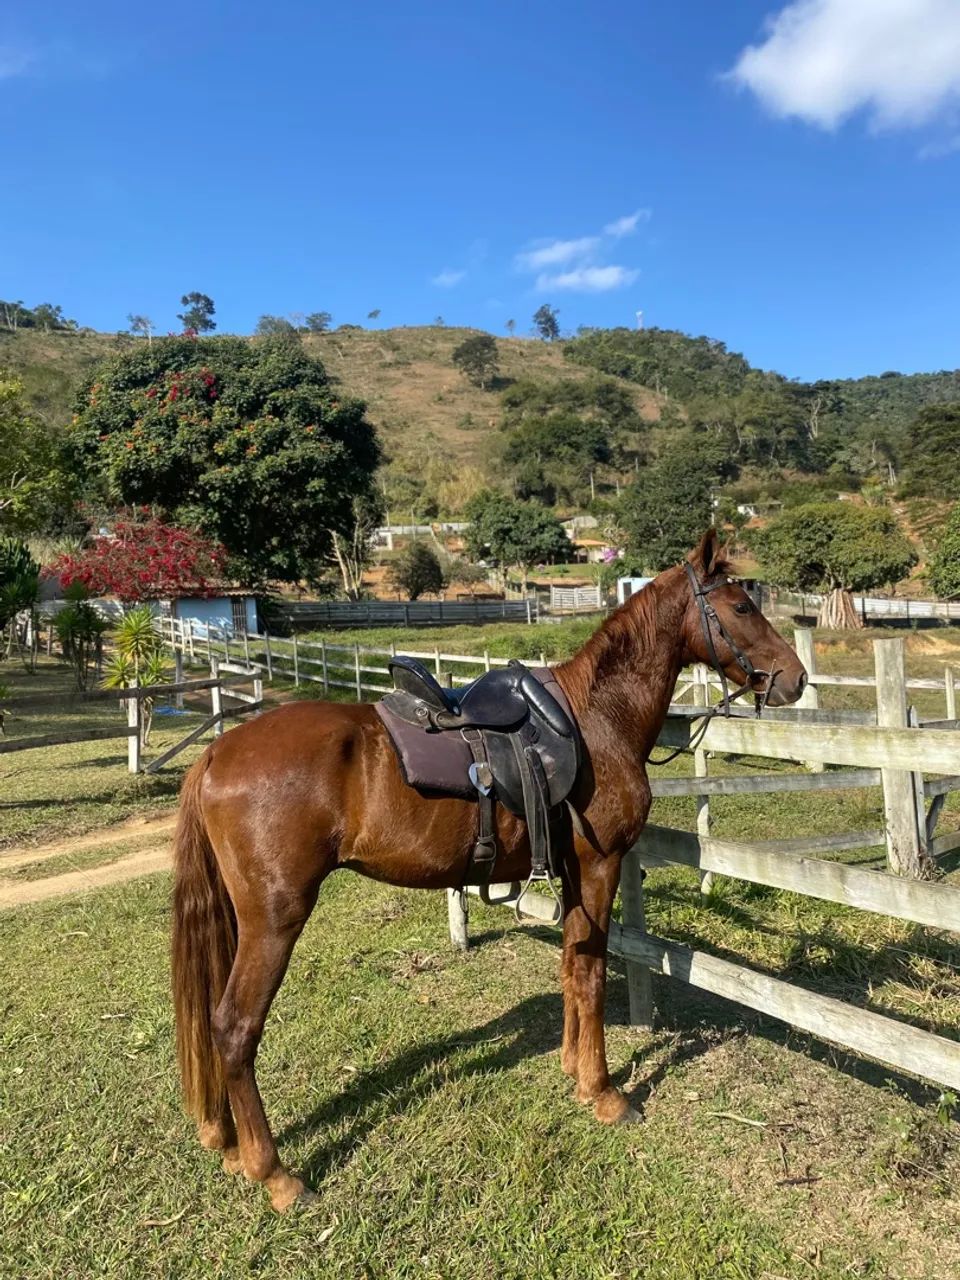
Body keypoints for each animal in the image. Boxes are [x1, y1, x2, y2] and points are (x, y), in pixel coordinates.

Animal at [171, 530, 807, 1211]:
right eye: (741, 606)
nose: (795, 679)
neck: (596, 718)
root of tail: (217, 752)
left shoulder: (572, 874)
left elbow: (570, 967)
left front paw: (574, 1070)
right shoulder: (599, 866)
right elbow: (592, 974)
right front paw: (605, 1093)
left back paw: (227, 1141)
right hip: (274, 920)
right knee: (233, 1028)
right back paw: (275, 1173)